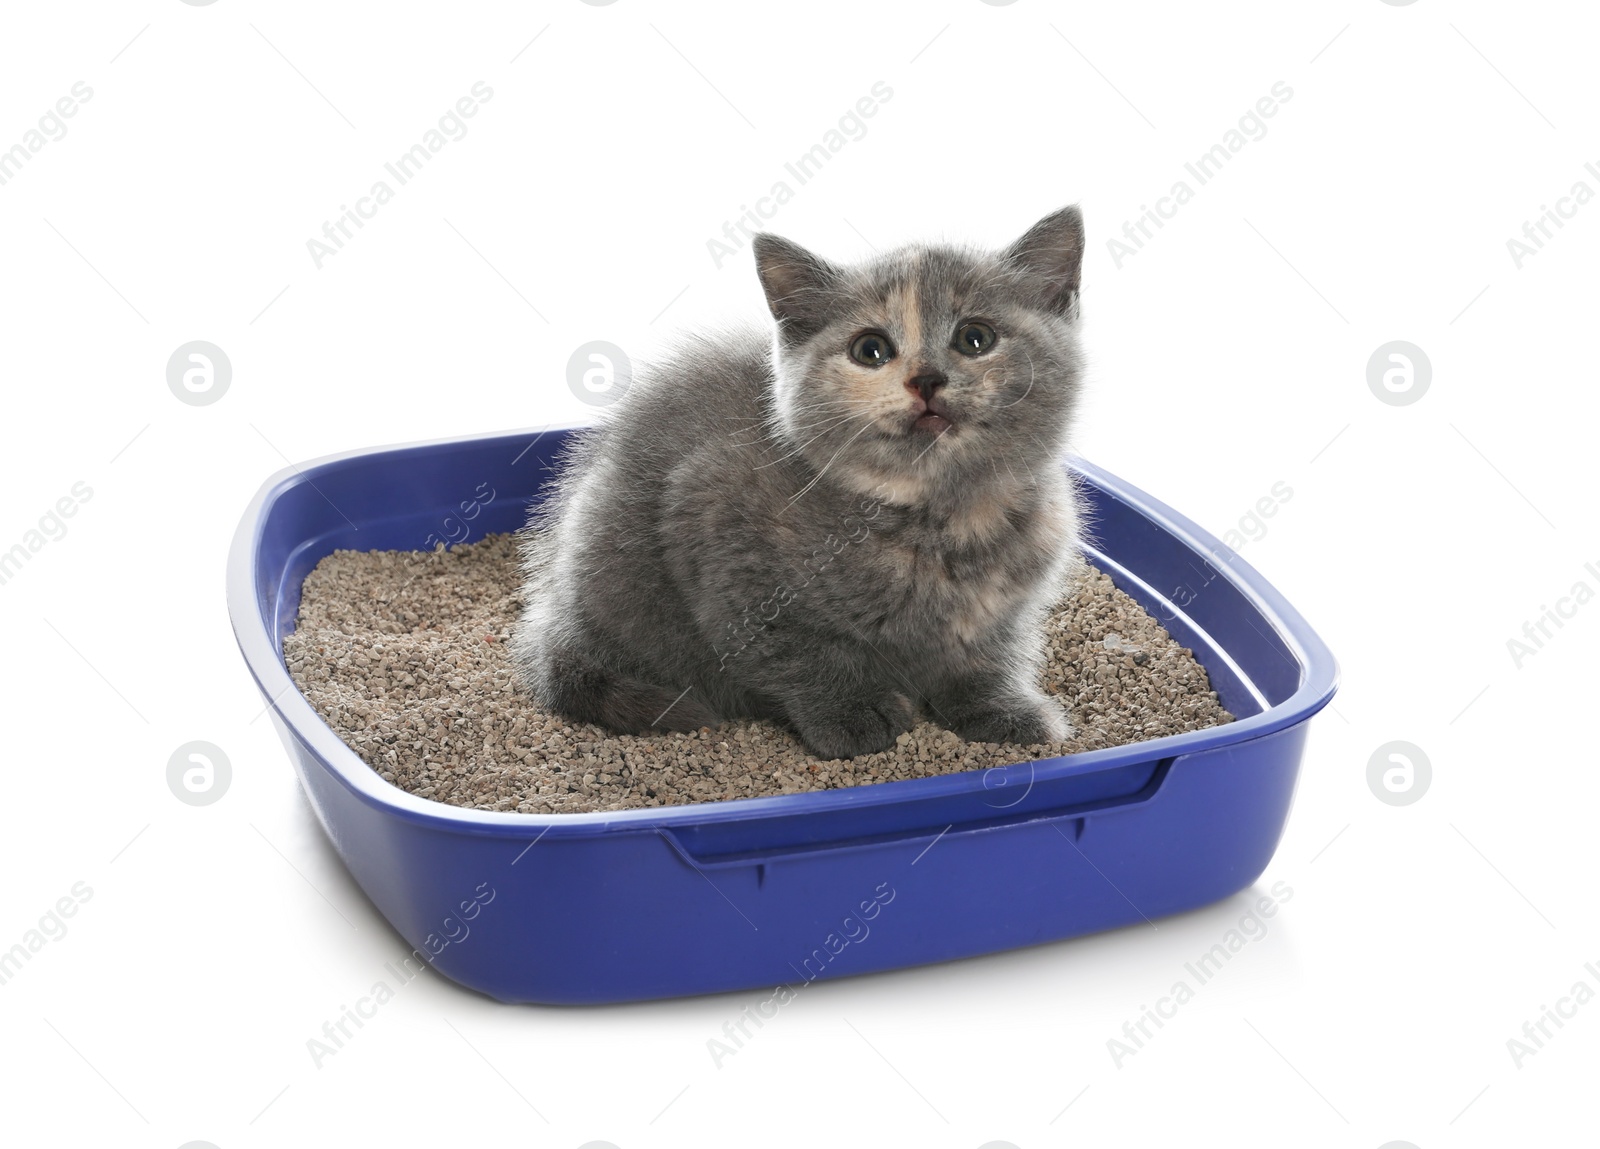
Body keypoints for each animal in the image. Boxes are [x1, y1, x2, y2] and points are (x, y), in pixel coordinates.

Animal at [512, 206, 1088, 764]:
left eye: (976, 338)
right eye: (871, 349)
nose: (925, 378)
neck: (941, 513)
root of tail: (556, 613)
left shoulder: (1009, 605)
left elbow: (990, 656)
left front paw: (1003, 710)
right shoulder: (716, 527)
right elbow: (798, 650)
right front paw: (852, 713)